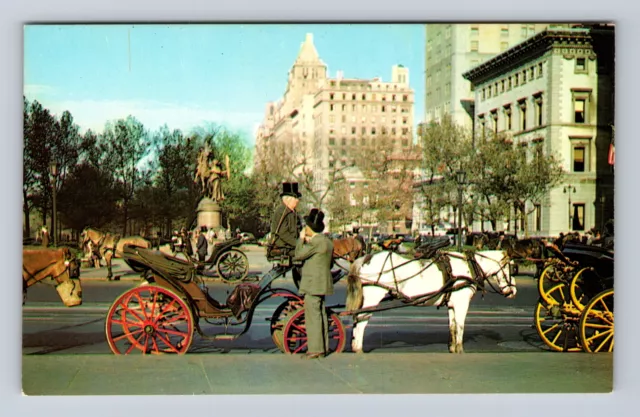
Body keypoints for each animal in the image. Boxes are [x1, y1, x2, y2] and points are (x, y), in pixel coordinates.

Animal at [344, 249, 516, 352]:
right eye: (511, 268)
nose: (513, 291)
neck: (469, 266)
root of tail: (366, 258)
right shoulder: (461, 303)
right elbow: (460, 325)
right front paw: (460, 349)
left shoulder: (452, 305)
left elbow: (452, 326)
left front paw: (452, 348)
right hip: (373, 298)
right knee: (361, 320)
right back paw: (357, 348)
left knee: (357, 318)